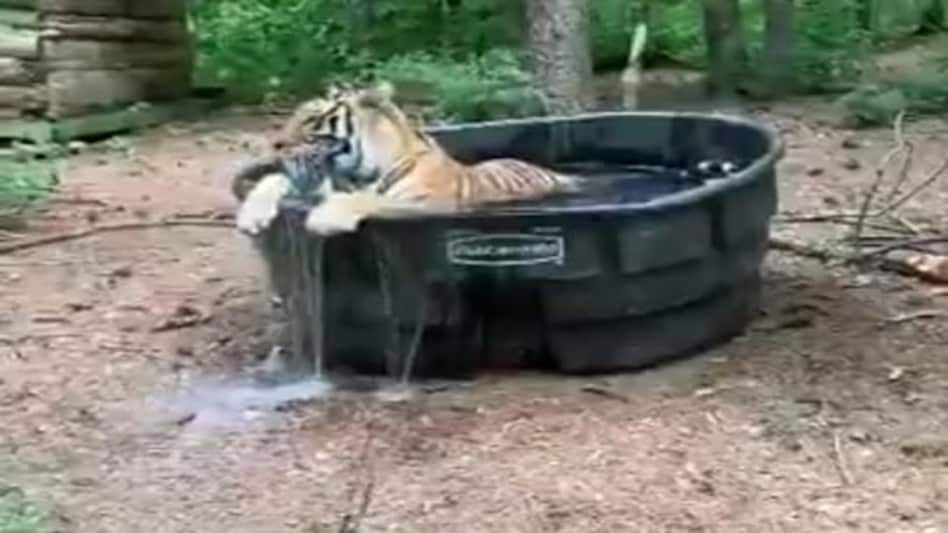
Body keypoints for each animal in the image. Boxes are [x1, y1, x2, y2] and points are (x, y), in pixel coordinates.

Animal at [239, 80, 584, 237]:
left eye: (311, 120)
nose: (276, 144)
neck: (356, 170)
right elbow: (275, 178)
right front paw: (249, 216)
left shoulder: (424, 203)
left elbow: (367, 199)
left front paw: (324, 218)